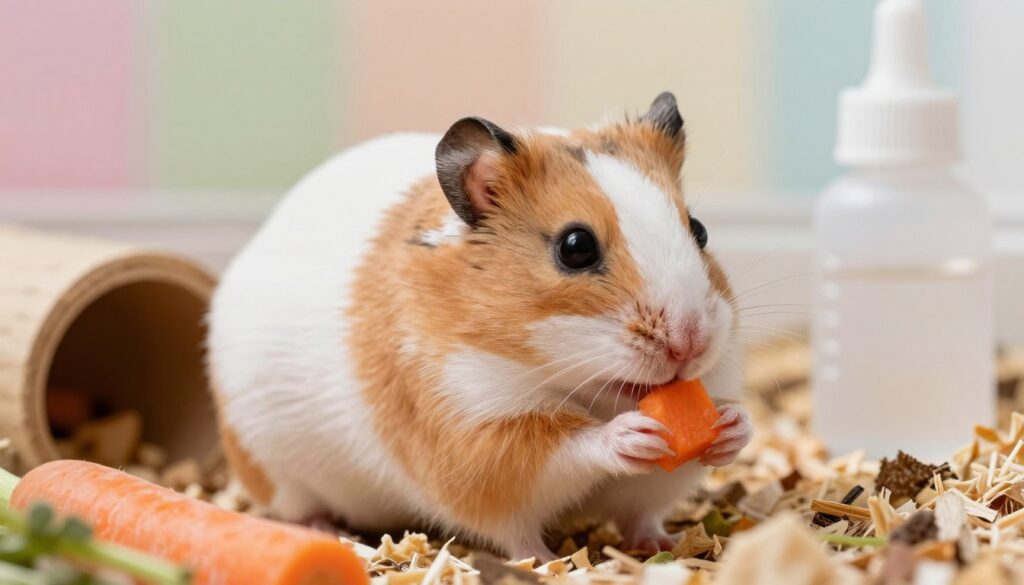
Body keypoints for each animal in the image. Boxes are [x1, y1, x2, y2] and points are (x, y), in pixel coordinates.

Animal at [207, 91, 752, 560]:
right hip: (278, 471)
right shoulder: (474, 435)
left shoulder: (655, 479)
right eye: (575, 247)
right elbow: (560, 455)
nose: (690, 344)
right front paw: (631, 435)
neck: (582, 390)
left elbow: (645, 504)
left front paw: (731, 426)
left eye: (699, 230)